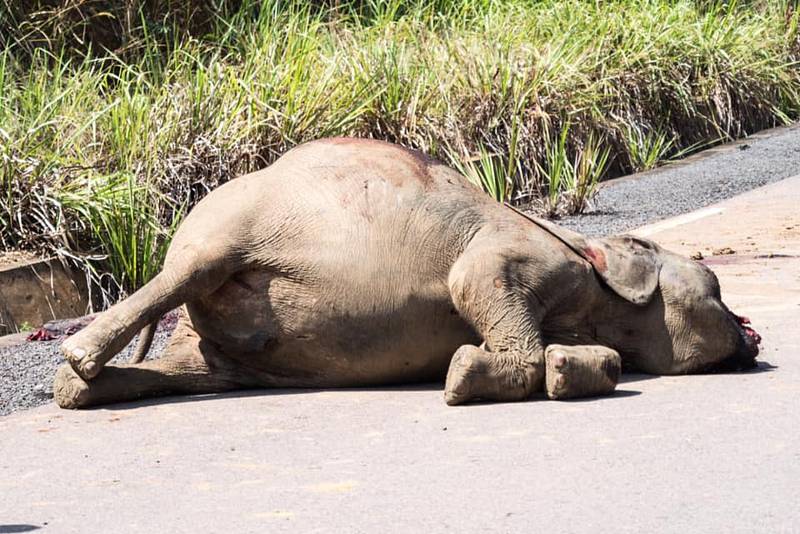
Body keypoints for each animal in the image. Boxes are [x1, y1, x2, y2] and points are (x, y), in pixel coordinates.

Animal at [51, 138, 764, 410]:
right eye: (718, 290)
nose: (753, 333)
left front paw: (566, 367)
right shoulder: (522, 249)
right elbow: (472, 280)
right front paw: (463, 375)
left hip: (219, 343)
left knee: (196, 370)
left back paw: (77, 391)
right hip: (225, 224)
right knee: (187, 274)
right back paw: (79, 361)